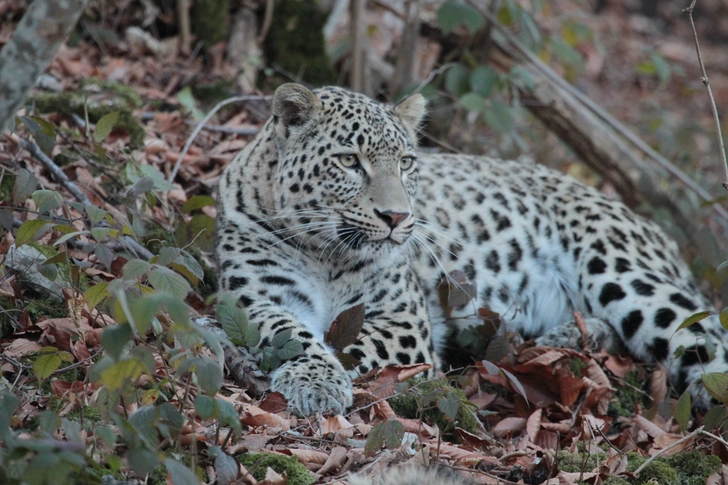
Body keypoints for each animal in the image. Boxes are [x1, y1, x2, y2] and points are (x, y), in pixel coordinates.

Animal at [216, 81, 728, 414]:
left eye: (405, 163)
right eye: (348, 161)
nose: (397, 217)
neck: (325, 253)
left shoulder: (404, 323)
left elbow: (349, 345)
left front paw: (320, 380)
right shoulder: (256, 299)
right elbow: (295, 335)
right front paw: (313, 380)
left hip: (623, 272)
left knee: (705, 339)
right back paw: (565, 339)